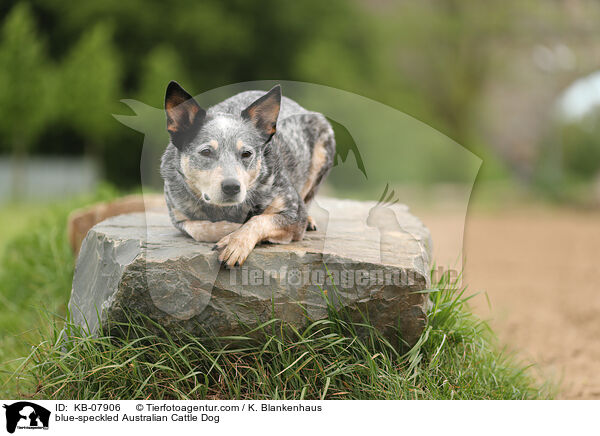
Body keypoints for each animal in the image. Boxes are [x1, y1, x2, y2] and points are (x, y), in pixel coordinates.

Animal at [159, 81, 338, 266]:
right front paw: (231, 230)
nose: (231, 186)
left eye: (246, 153)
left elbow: (258, 220)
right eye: (206, 152)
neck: (226, 210)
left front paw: (236, 240)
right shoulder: (178, 216)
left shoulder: (294, 212)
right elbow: (201, 229)